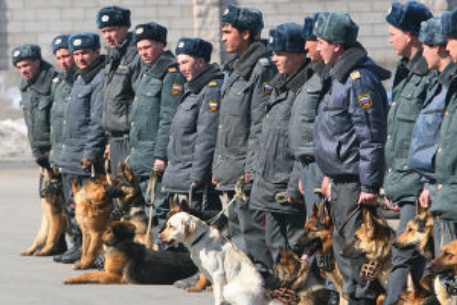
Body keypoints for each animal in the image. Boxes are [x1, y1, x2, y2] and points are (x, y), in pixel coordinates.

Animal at [64, 220, 198, 284]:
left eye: (108, 230)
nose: (98, 232)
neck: (121, 244)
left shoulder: (113, 275)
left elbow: (89, 274)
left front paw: (72, 279)